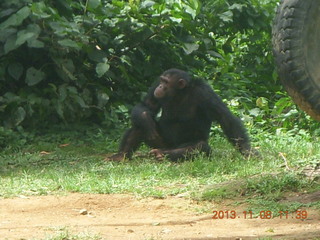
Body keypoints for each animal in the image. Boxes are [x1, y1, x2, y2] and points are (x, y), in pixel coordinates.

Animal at [109, 67, 254, 161]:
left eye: (166, 82)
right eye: (161, 80)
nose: (160, 86)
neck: (179, 93)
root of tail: (167, 147)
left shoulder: (205, 92)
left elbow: (225, 118)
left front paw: (247, 151)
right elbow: (147, 105)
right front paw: (146, 119)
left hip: (172, 147)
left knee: (199, 146)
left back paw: (162, 155)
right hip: (160, 142)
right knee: (139, 127)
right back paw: (120, 156)